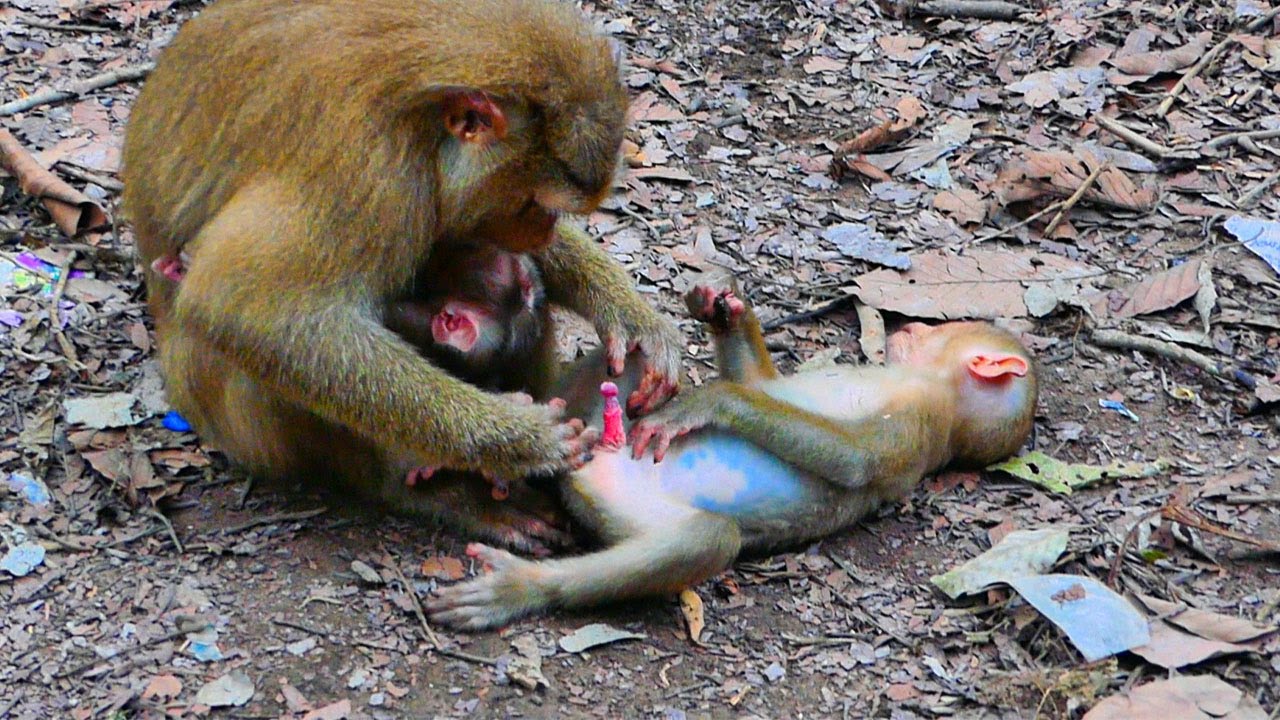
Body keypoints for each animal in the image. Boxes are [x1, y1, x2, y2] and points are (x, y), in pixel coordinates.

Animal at [121, 0, 682, 548]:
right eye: (533, 204)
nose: (542, 232)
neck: (422, 123)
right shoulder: (363, 172)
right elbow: (242, 311)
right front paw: (519, 440)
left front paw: (632, 319)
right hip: (235, 423)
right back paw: (427, 490)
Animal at [427, 284, 1038, 629]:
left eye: (945, 328)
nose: (909, 325)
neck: (932, 388)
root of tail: (596, 452)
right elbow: (761, 383)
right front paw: (724, 311)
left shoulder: (919, 420)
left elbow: (855, 461)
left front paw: (715, 402)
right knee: (633, 357)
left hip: (619, 499)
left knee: (709, 538)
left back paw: (525, 584)